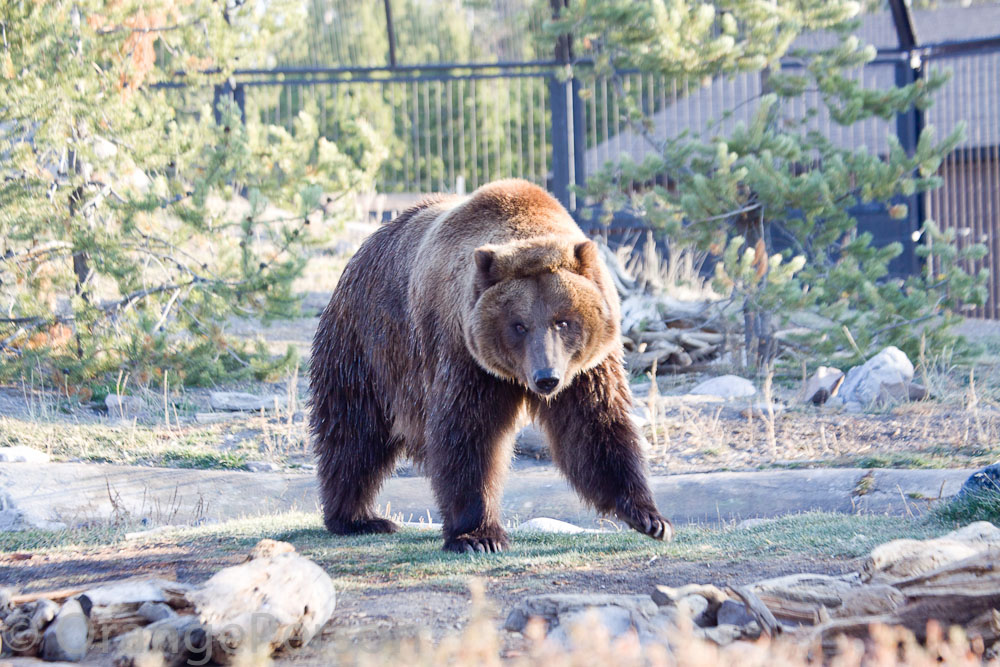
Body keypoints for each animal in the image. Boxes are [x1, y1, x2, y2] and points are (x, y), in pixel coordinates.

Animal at [310, 179, 671, 553]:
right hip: (366, 345)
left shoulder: (585, 368)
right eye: (519, 325)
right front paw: (478, 535)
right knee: (355, 432)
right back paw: (357, 517)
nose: (546, 379)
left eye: (563, 321)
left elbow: (596, 424)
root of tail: (362, 251)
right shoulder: (465, 354)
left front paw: (649, 517)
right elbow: (470, 433)